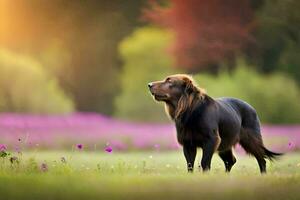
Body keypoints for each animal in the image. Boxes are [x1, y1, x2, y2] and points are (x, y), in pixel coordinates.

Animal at [149, 74, 282, 173]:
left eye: (169, 81)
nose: (149, 85)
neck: (190, 111)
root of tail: (252, 108)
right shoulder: (188, 143)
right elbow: (190, 164)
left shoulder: (212, 140)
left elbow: (204, 162)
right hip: (225, 144)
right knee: (231, 161)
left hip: (250, 139)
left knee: (261, 159)